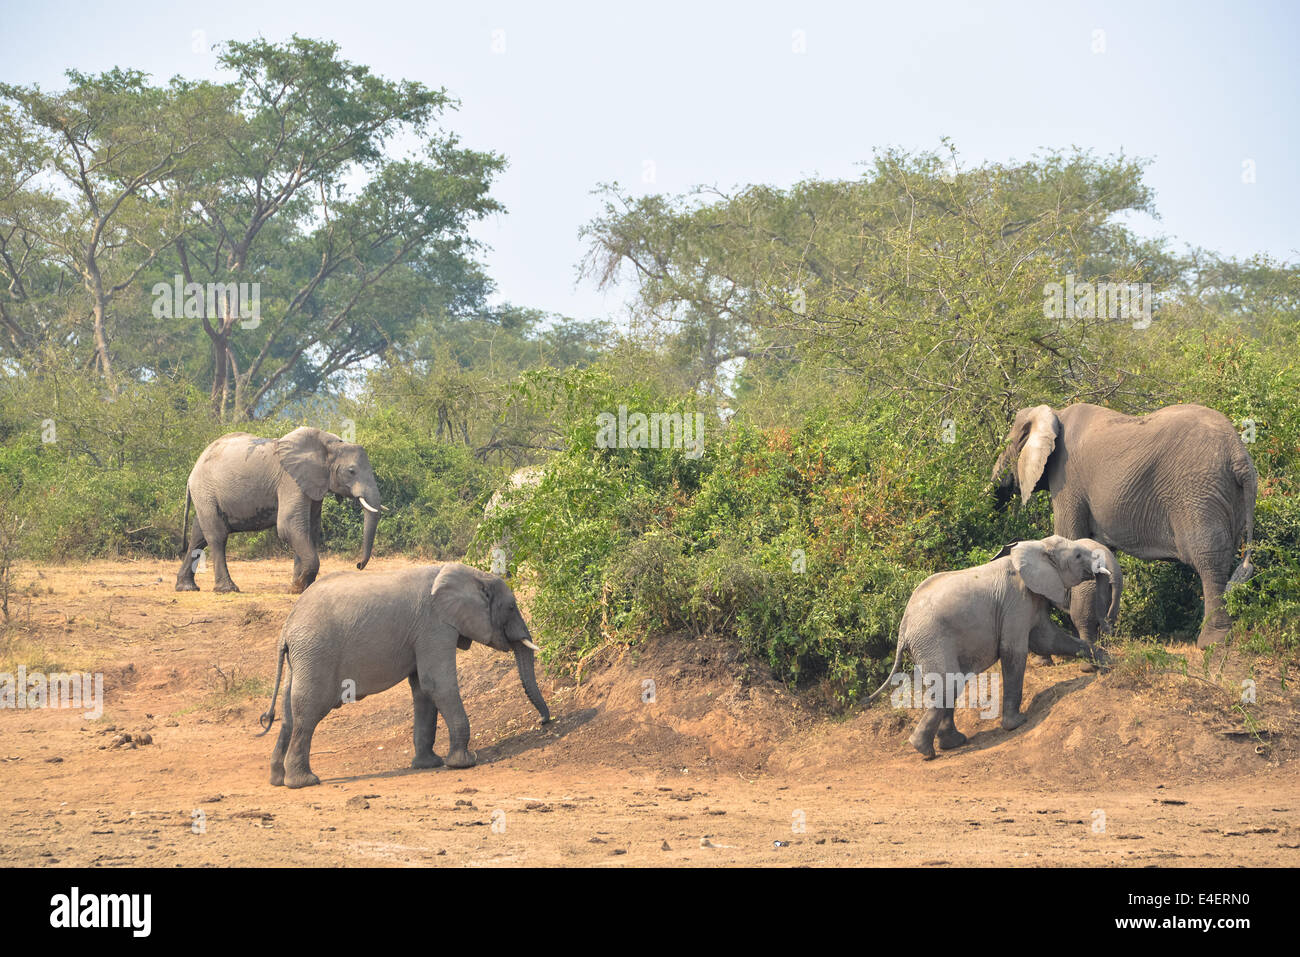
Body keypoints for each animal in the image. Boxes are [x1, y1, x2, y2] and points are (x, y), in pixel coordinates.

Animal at [172, 429, 379, 595]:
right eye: (351, 471)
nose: (358, 565)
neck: (329, 444)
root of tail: (192, 471)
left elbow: (309, 530)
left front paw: (298, 588)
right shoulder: (290, 480)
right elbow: (289, 526)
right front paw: (298, 587)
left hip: (205, 494)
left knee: (199, 536)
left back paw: (186, 588)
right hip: (205, 491)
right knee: (217, 536)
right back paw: (227, 589)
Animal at [256, 561, 551, 785]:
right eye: (511, 607)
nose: (544, 722)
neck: (471, 574)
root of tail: (287, 627)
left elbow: (422, 690)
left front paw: (428, 764)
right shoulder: (435, 625)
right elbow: (437, 683)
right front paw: (464, 763)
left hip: (300, 659)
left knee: (288, 713)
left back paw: (277, 780)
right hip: (315, 653)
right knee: (308, 711)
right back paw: (304, 782)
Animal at [868, 535, 1112, 759]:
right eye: (1078, 555)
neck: (1037, 545)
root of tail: (904, 625)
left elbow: (1047, 640)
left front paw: (1109, 662)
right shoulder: (1016, 600)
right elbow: (1014, 651)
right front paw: (1017, 723)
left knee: (947, 683)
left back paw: (952, 743)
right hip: (931, 639)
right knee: (949, 684)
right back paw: (924, 750)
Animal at [987, 403, 1253, 650]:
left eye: (1006, 444)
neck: (1055, 414)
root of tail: (1239, 455)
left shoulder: (1066, 480)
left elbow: (1072, 538)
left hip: (1197, 492)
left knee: (1209, 558)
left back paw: (1212, 642)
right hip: (1229, 497)